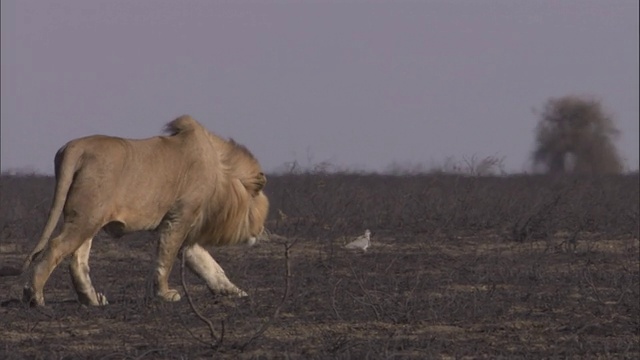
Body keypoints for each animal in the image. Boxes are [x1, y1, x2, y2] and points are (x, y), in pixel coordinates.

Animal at [23, 115, 270, 306]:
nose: (260, 232)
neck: (222, 172)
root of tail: (75, 147)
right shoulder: (180, 216)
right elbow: (166, 258)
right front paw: (166, 294)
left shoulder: (182, 223)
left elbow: (206, 263)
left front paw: (234, 291)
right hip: (86, 217)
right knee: (56, 247)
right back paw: (35, 297)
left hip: (89, 218)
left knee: (77, 260)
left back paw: (93, 300)